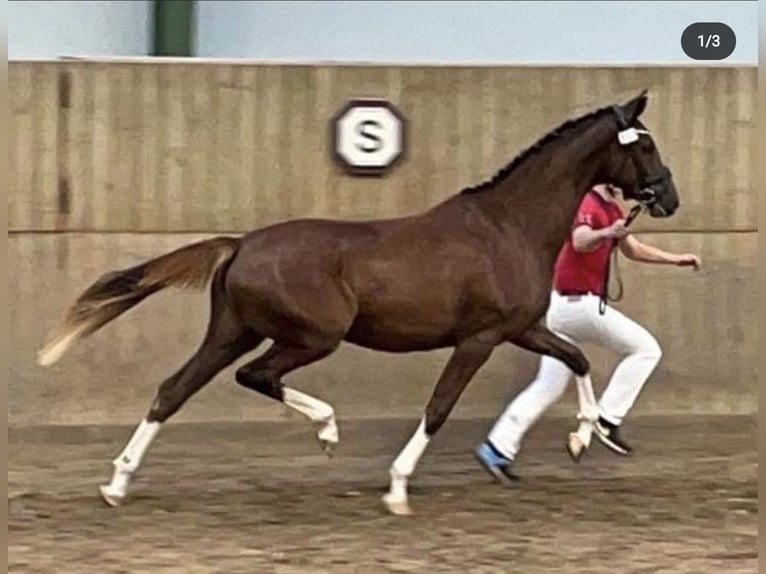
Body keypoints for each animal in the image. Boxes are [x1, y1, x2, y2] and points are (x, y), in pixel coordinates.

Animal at [39, 90, 680, 516]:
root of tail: (242, 243)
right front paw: (396, 488)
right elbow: (439, 407)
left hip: (233, 332)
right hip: (312, 336)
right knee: (256, 376)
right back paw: (326, 428)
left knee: (173, 391)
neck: (508, 227)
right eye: (645, 143)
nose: (669, 197)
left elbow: (577, 357)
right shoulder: (478, 338)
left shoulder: (522, 327)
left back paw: (118, 484)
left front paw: (583, 439)